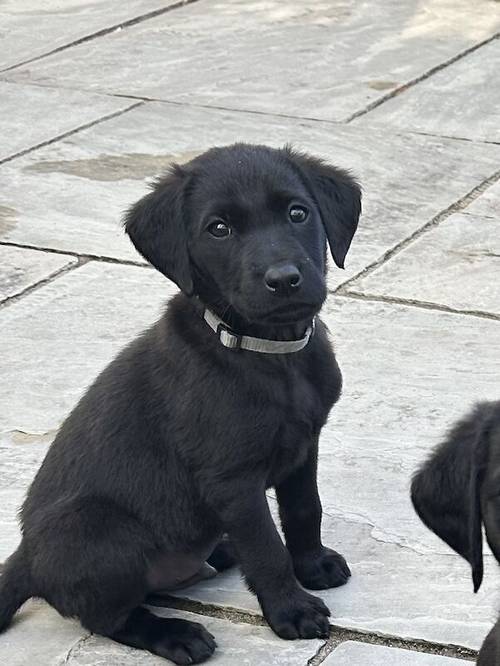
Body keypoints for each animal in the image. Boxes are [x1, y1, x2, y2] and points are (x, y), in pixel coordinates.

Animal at [0, 143, 362, 660]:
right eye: (219, 228)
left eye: (298, 213)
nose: (284, 279)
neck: (268, 355)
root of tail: (26, 557)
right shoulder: (231, 479)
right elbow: (266, 548)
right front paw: (292, 609)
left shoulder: (304, 447)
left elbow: (303, 511)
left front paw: (312, 565)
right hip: (101, 530)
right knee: (107, 618)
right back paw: (176, 634)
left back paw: (221, 551)